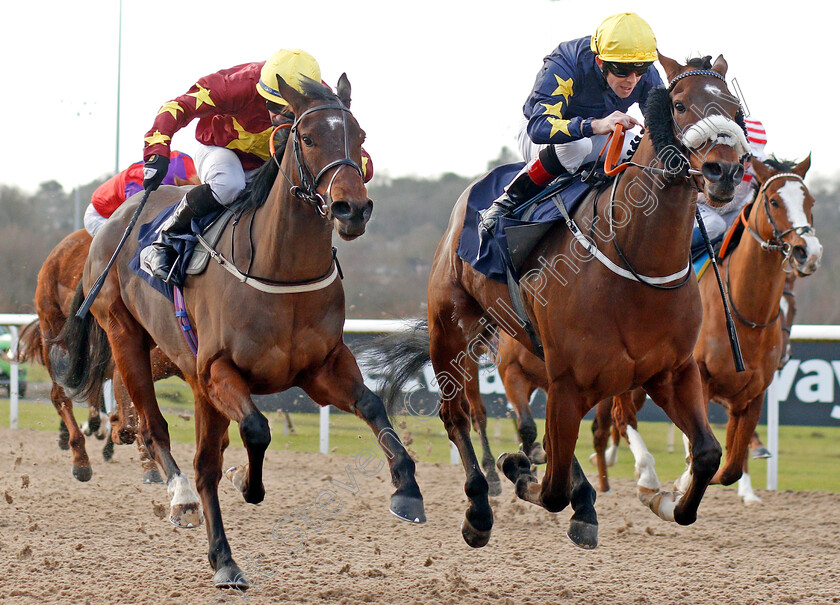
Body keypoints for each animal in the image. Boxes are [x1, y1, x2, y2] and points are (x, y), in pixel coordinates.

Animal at [54, 73, 420, 588]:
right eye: (309, 138)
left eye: (360, 136)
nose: (353, 209)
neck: (281, 272)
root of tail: (115, 220)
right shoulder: (220, 371)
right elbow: (257, 429)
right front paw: (246, 482)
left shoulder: (322, 368)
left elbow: (371, 405)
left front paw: (407, 489)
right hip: (128, 340)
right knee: (159, 431)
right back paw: (191, 509)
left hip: (192, 378)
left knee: (206, 456)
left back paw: (220, 549)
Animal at [374, 56, 748, 548]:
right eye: (681, 104)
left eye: (736, 110)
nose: (725, 172)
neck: (636, 263)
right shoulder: (569, 379)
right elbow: (549, 488)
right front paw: (516, 468)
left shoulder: (670, 372)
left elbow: (706, 453)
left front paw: (664, 501)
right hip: (452, 329)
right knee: (456, 413)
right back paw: (473, 506)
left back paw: (581, 500)